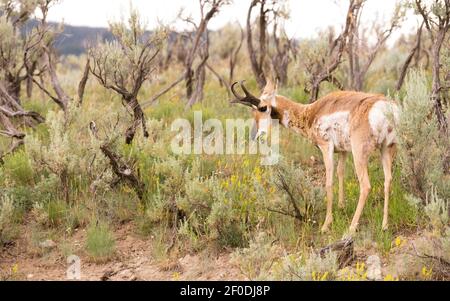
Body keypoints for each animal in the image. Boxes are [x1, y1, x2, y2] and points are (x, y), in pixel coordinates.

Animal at [230, 80, 400, 234]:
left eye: (262, 108)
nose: (255, 135)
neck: (311, 112)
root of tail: (384, 106)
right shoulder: (343, 151)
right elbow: (340, 173)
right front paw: (341, 207)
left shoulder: (326, 148)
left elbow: (329, 183)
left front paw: (326, 225)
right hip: (386, 149)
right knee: (388, 181)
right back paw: (384, 225)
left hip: (360, 153)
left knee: (365, 185)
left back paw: (352, 227)